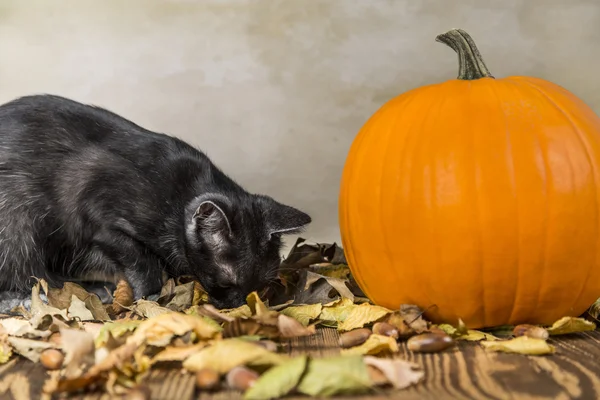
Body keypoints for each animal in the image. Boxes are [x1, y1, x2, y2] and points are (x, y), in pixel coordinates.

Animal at [0, 94, 310, 310]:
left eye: (262, 284)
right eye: (226, 282)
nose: (237, 305)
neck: (179, 196)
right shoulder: (102, 223)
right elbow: (141, 261)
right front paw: (150, 294)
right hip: (17, 221)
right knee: (24, 272)